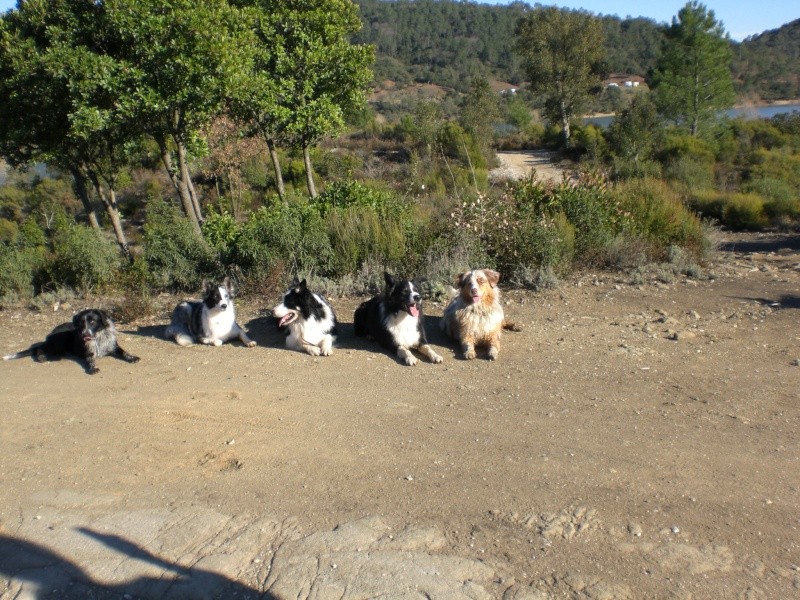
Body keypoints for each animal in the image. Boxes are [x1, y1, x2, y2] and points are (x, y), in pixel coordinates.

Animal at [2, 310, 139, 376]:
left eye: (92, 322)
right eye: (81, 324)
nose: (84, 334)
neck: (98, 337)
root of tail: (50, 334)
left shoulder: (113, 347)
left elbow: (124, 352)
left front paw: (132, 357)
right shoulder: (89, 352)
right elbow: (90, 360)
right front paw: (92, 368)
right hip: (61, 338)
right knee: (39, 349)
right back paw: (42, 356)